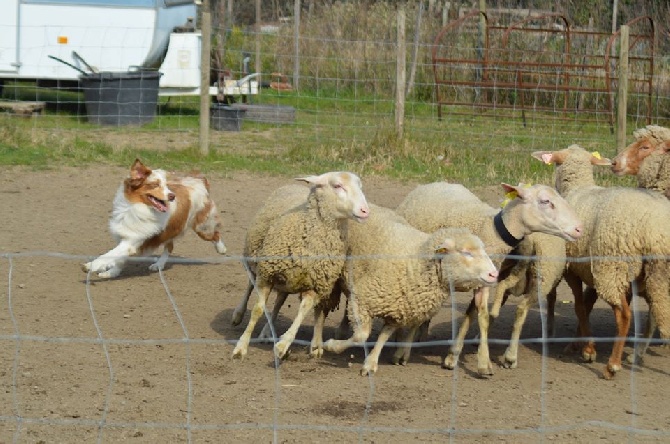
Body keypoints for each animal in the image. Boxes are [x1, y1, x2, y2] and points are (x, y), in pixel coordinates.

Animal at [83, 160, 226, 278]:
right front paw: (111, 273)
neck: (135, 207)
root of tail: (197, 180)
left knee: (216, 234)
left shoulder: (133, 240)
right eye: (155, 185)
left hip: (202, 227)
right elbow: (118, 258)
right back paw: (159, 264)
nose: (172, 196)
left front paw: (91, 265)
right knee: (170, 246)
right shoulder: (126, 238)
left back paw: (222, 249)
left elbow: (109, 254)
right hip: (173, 229)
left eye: (166, 185)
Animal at [232, 172, 372, 360]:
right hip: (255, 260)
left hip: (286, 280)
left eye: (360, 186)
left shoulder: (315, 285)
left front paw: (283, 345)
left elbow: (303, 311)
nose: (365, 211)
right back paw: (238, 315)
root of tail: (293, 186)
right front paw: (241, 347)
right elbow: (257, 310)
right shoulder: (267, 275)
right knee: (249, 286)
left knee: (278, 303)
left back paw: (267, 332)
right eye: (337, 186)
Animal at [322, 207, 502, 374]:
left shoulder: (398, 310)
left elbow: (383, 336)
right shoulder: (363, 300)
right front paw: (331, 346)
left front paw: (371, 363)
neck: (417, 264)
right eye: (466, 253)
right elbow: (361, 336)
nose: (494, 274)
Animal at [396, 182, 584, 376]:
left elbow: (483, 316)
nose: (579, 229)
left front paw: (479, 361)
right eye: (545, 201)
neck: (491, 230)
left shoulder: (485, 280)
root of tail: (436, 183)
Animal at [536, 145, 670, 378]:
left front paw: (589, 350)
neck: (578, 187)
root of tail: (654, 229)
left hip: (612, 268)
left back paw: (612, 365)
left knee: (624, 316)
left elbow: (580, 307)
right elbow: (588, 305)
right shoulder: (598, 273)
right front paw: (578, 344)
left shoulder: (573, 269)